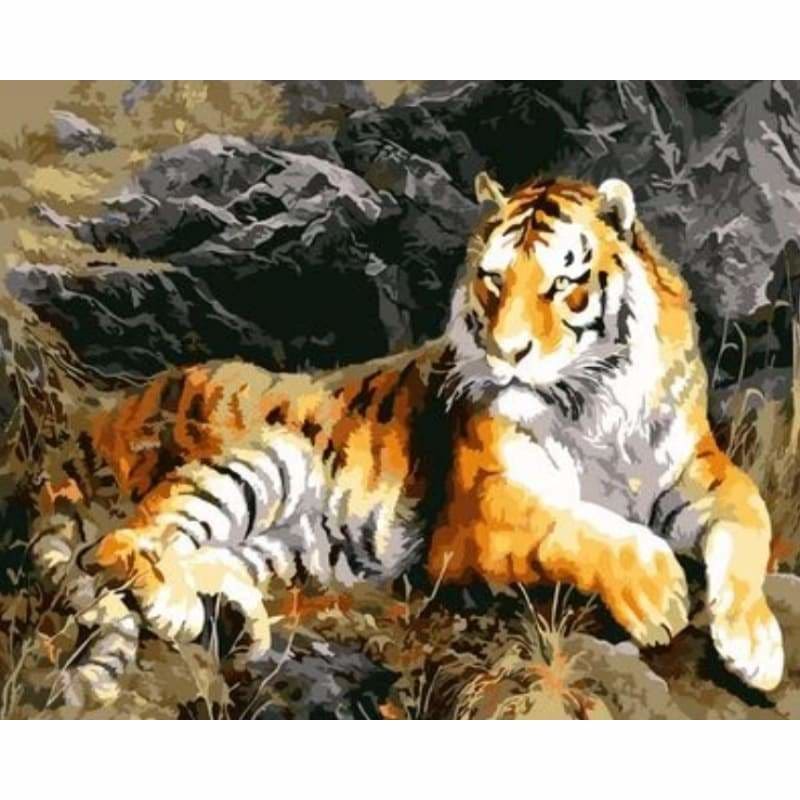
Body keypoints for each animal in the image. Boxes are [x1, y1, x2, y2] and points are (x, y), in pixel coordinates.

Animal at [30, 172, 785, 706]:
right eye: (492, 280)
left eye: (561, 284)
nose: (508, 353)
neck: (595, 406)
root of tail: (102, 417)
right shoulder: (480, 511)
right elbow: (582, 526)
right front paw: (660, 596)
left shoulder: (695, 469)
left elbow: (751, 516)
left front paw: (755, 644)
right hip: (265, 460)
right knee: (124, 539)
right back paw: (177, 607)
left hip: (286, 548)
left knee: (199, 556)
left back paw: (242, 620)